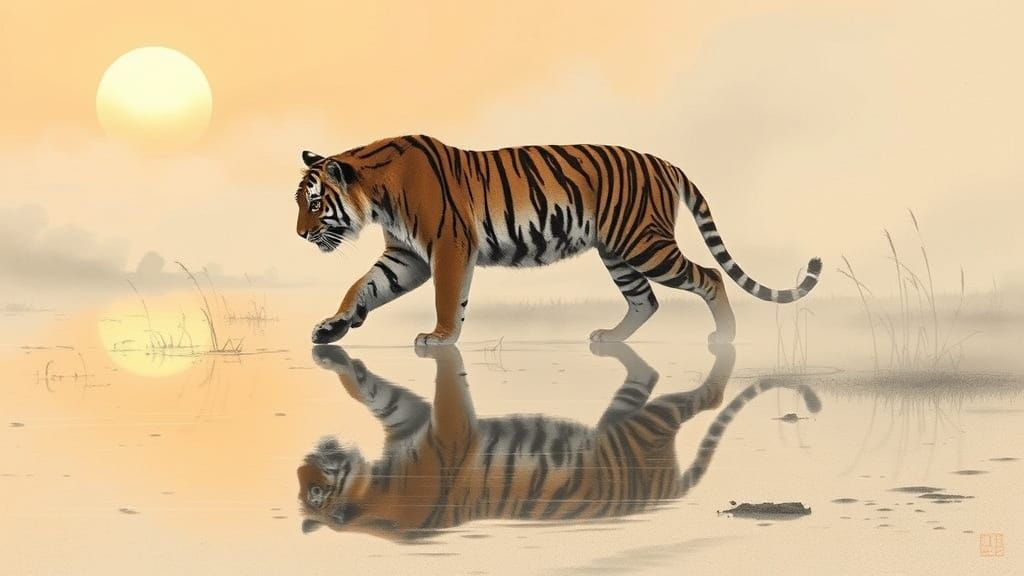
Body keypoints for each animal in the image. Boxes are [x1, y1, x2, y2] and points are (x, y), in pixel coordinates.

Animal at [295, 136, 822, 346]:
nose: (299, 234)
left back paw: (726, 335)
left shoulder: (447, 246)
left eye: (315, 203)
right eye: (300, 202)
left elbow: (448, 298)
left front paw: (440, 337)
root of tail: (667, 163)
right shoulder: (406, 256)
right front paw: (333, 327)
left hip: (645, 243)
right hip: (618, 252)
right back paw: (611, 338)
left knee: (709, 275)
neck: (376, 193)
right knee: (645, 301)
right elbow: (362, 286)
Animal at [297, 343, 822, 541]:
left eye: (314, 487)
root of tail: (668, 490)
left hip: (648, 424)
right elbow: (375, 390)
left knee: (708, 396)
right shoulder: (408, 423)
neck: (373, 492)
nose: (305, 457)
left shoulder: (445, 433)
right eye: (301, 483)